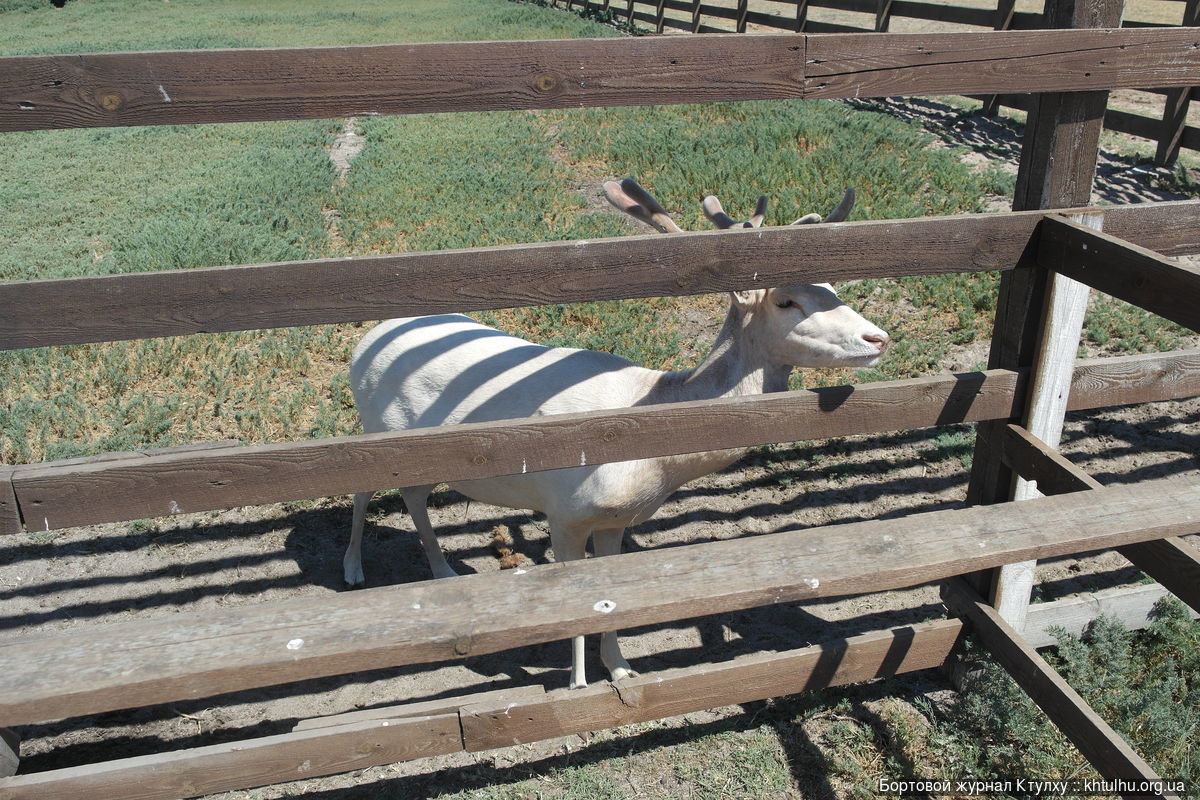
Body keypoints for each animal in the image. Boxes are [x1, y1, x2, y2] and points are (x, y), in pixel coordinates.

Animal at [343, 179, 888, 690]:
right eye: (787, 301)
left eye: (833, 287)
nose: (878, 338)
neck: (650, 462)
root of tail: (366, 340)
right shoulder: (564, 511)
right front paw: (577, 685)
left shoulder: (615, 521)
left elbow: (612, 596)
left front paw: (623, 669)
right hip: (376, 432)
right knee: (366, 489)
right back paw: (355, 569)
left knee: (413, 496)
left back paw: (441, 573)